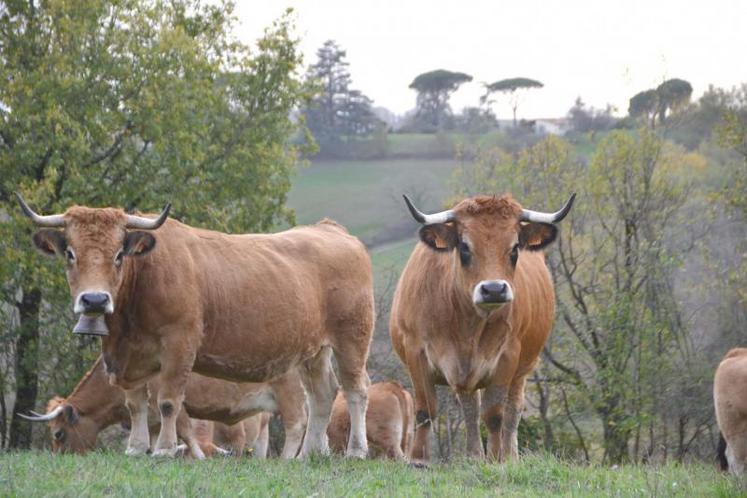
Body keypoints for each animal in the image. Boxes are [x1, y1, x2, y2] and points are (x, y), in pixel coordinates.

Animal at [20, 356, 306, 458]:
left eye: (58, 434)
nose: (59, 458)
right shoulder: (153, 419)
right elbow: (157, 439)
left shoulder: (174, 404)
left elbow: (187, 432)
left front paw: (198, 458)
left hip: (290, 395)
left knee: (298, 425)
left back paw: (289, 460)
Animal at [388, 193, 576, 462]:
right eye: (465, 247)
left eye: (515, 248)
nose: (494, 289)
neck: (466, 324)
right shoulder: (416, 352)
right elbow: (426, 410)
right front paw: (419, 459)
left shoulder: (507, 357)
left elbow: (495, 415)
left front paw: (496, 459)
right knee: (470, 409)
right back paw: (474, 455)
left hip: (523, 369)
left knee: (512, 412)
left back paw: (509, 456)